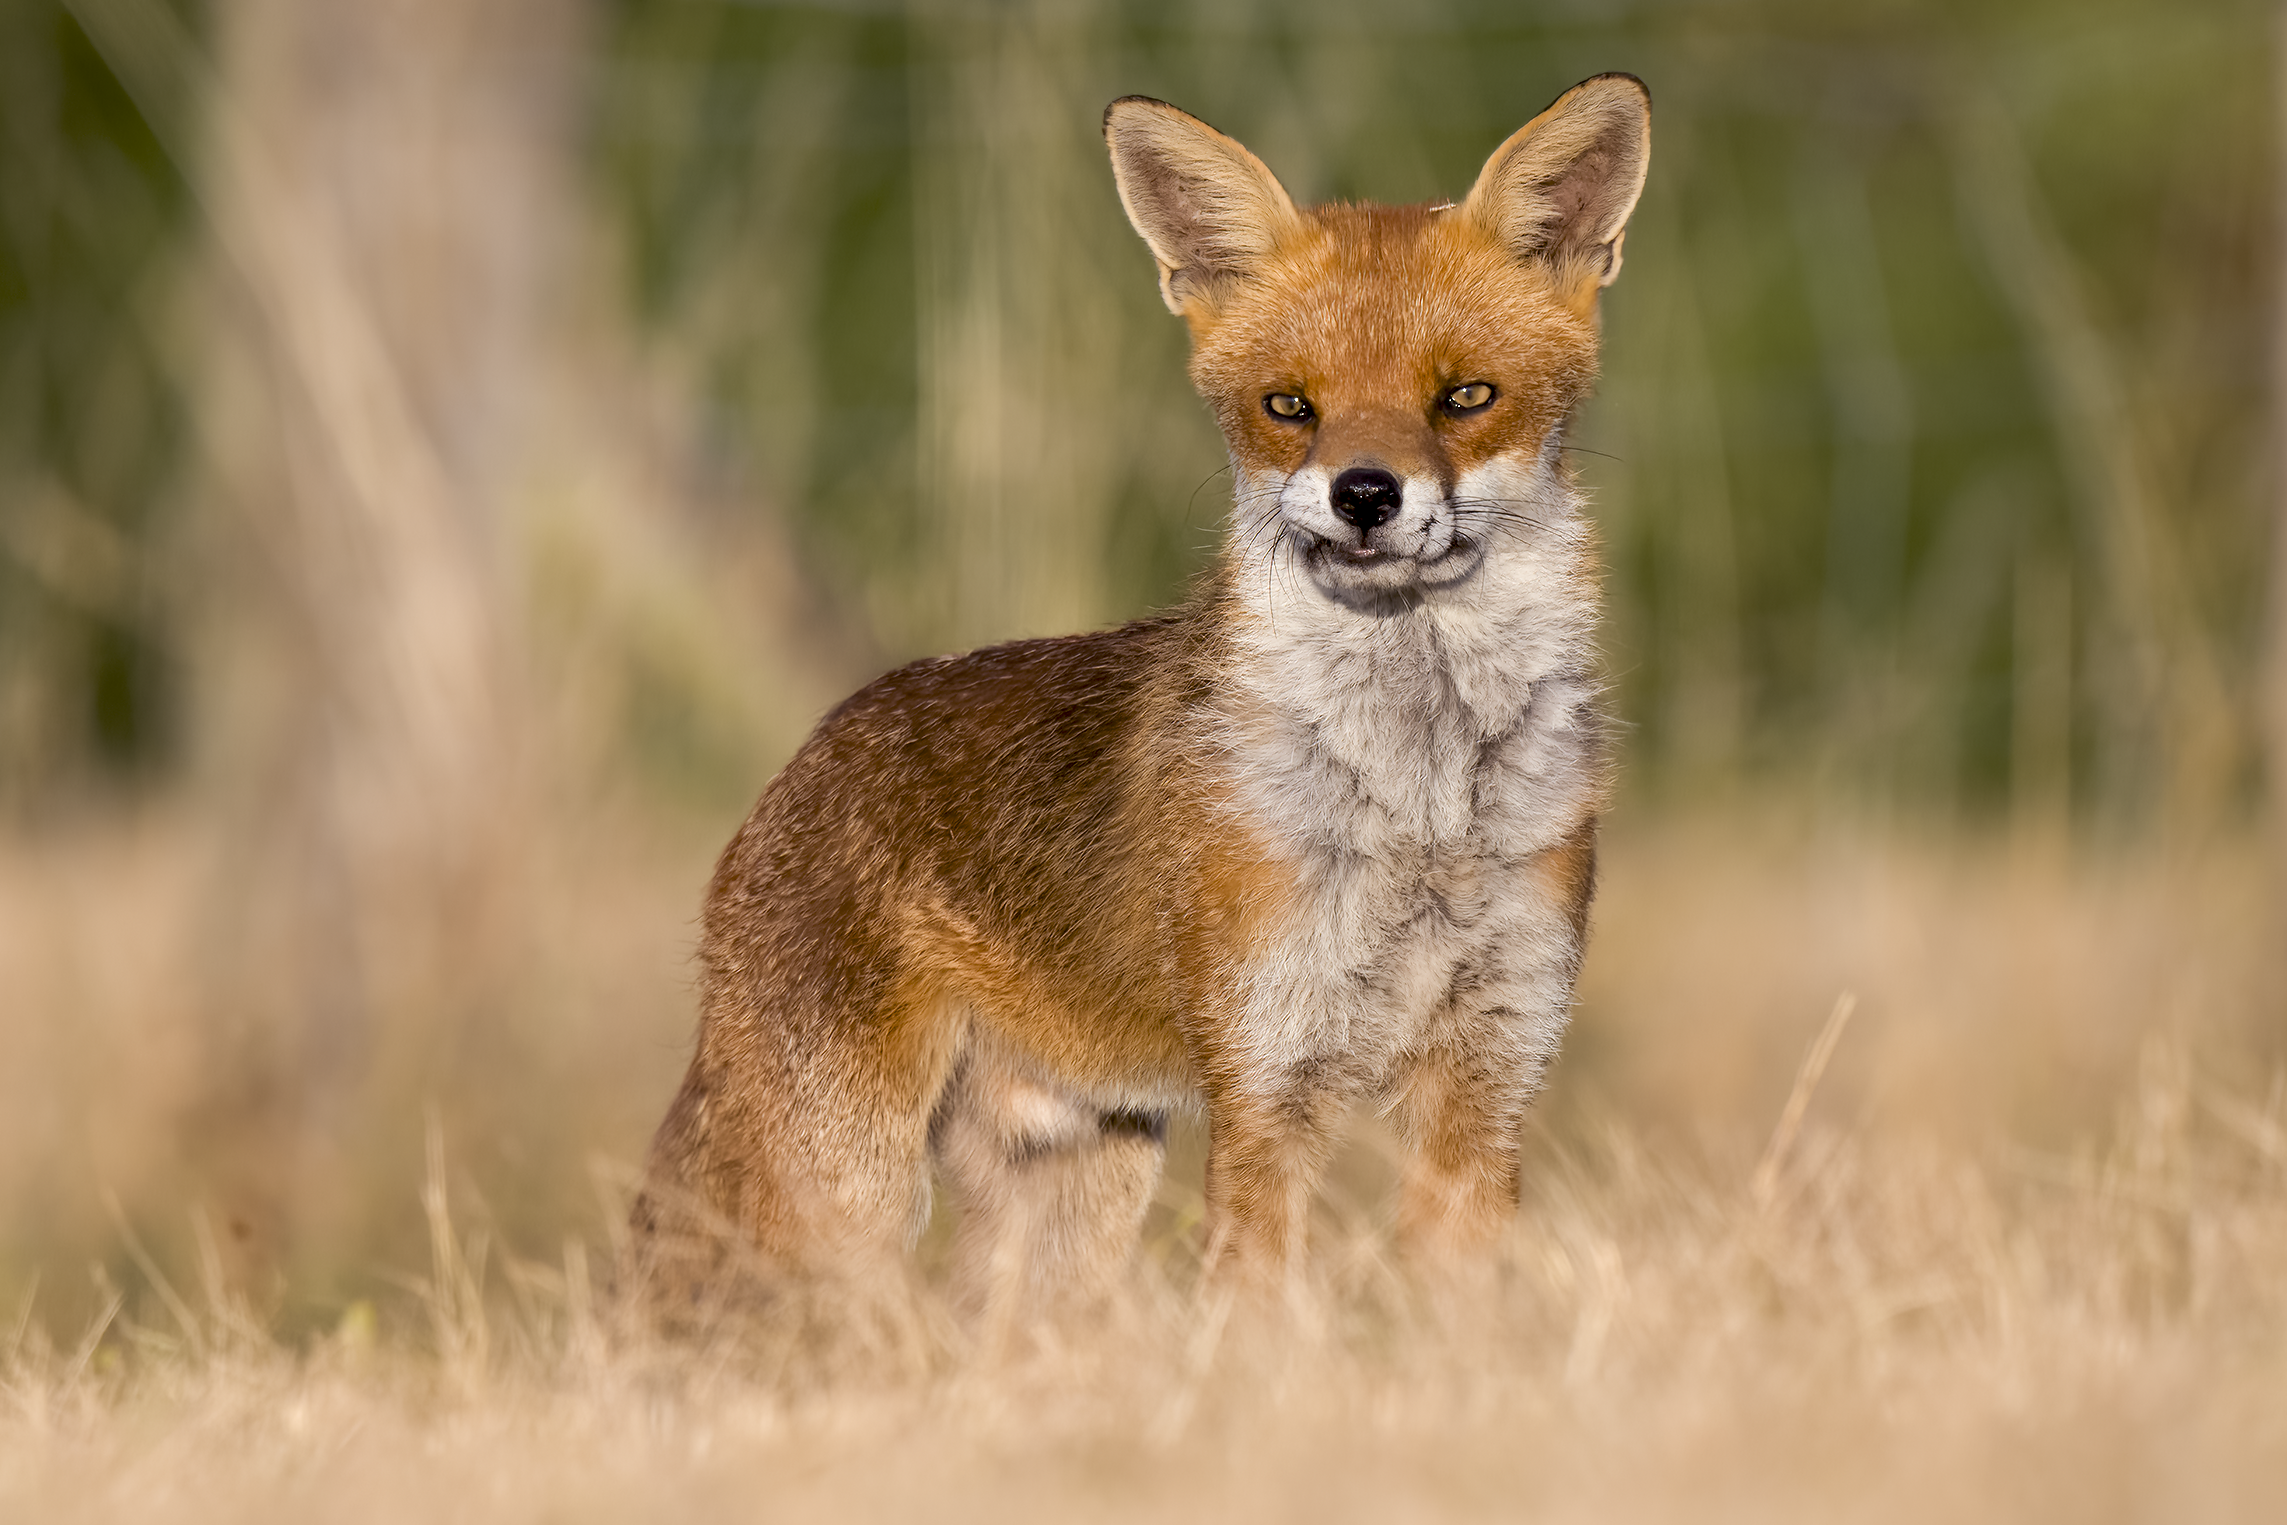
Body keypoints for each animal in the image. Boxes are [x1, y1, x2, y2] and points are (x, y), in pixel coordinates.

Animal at [628, 75, 1651, 1318]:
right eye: (1288, 406)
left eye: (1465, 397)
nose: (1364, 494)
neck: (1421, 805)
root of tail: (804, 756)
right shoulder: (1268, 1083)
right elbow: (1260, 1317)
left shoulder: (1490, 1078)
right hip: (839, 1197)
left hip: (1074, 1193)